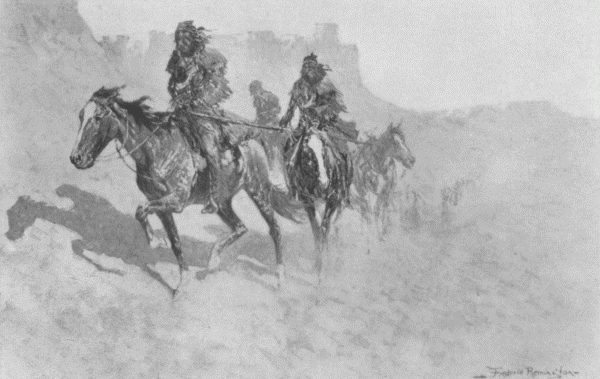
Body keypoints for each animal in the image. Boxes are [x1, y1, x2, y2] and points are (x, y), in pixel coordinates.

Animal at [69, 85, 304, 294]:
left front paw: (155, 241)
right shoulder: (163, 206)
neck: (157, 148)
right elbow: (173, 241)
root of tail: (254, 141)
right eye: (80, 116)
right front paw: (181, 280)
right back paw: (213, 260)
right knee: (240, 227)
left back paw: (279, 280)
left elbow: (141, 210)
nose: (76, 158)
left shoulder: (177, 201)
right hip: (222, 202)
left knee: (275, 229)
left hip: (258, 191)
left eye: (98, 117)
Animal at [284, 126, 352, 284]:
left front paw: (324, 270)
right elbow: (316, 229)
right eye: (307, 154)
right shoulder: (307, 201)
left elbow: (324, 228)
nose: (324, 184)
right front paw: (317, 266)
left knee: (334, 224)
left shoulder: (333, 198)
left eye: (324, 153)